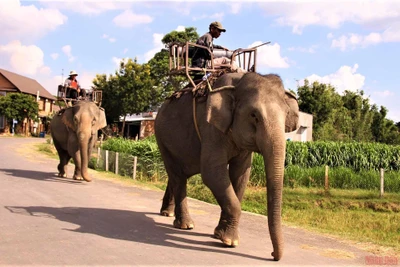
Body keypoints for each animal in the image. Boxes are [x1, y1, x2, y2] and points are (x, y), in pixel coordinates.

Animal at [155, 72, 298, 260]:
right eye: (254, 115)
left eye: (286, 114)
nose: (273, 254)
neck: (238, 81)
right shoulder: (211, 127)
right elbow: (212, 173)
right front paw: (230, 242)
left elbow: (241, 174)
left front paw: (219, 236)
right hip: (162, 139)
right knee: (177, 177)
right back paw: (185, 225)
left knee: (176, 176)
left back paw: (167, 213)